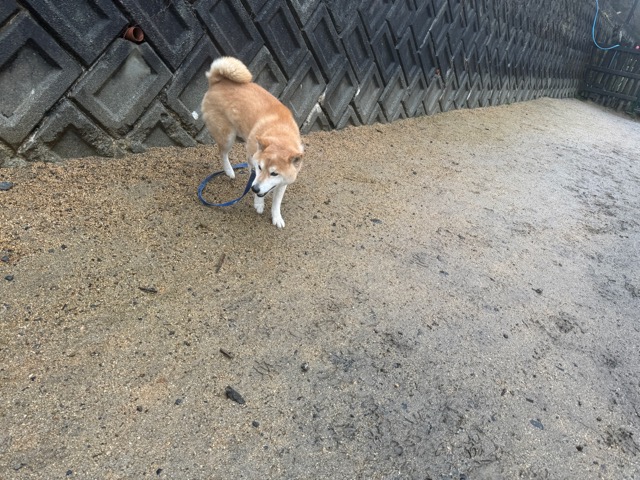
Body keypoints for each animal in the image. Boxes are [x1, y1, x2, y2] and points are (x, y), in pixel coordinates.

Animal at [201, 56, 304, 229]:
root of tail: (217, 81)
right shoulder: (254, 164)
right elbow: (255, 181)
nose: (255, 189)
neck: (280, 133)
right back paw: (229, 171)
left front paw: (276, 217)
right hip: (228, 137)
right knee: (222, 153)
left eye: (274, 173)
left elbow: (277, 202)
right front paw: (258, 203)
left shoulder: (282, 182)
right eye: (260, 167)